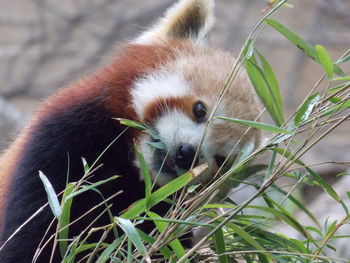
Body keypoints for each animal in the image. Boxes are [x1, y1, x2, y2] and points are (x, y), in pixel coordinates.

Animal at [0, 0, 260, 262]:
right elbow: (32, 239)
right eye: (200, 109)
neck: (129, 164)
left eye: (221, 160)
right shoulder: (57, 147)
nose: (187, 154)